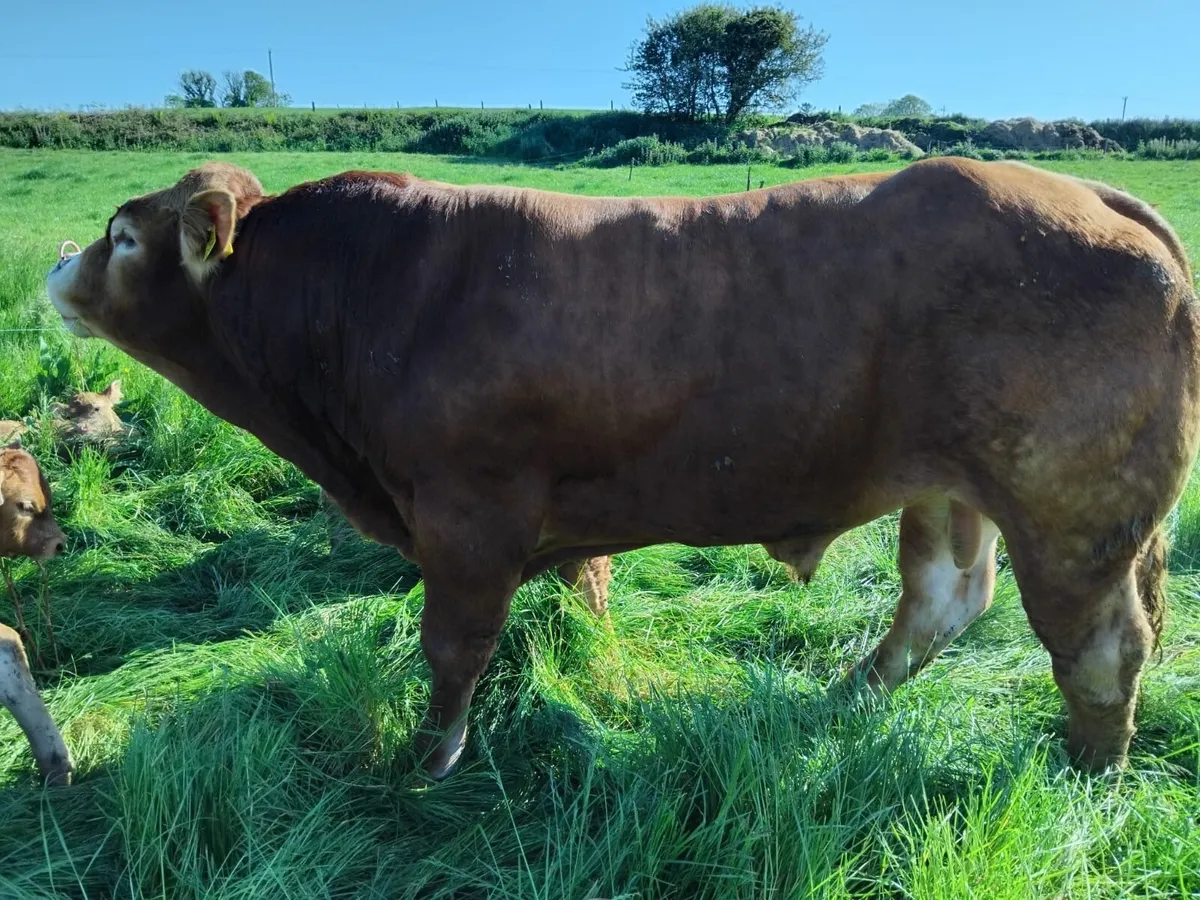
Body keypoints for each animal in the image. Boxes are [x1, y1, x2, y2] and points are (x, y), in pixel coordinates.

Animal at [44, 157, 1200, 780]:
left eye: (122, 236)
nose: (56, 266)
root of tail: (1086, 191)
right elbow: (574, 592)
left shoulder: (467, 517)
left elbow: (452, 649)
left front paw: (432, 757)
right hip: (953, 488)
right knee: (943, 599)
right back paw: (847, 699)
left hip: (1071, 512)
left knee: (1101, 648)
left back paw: (1090, 771)